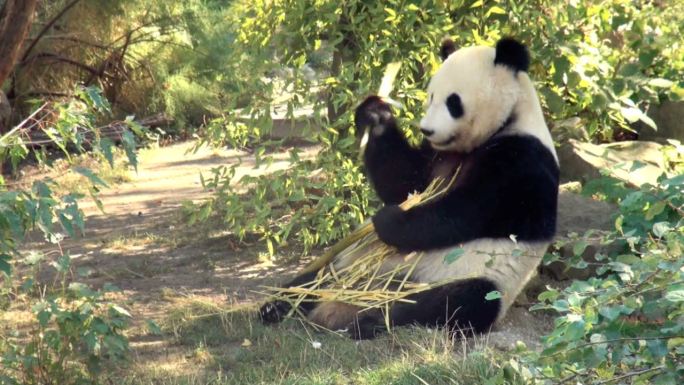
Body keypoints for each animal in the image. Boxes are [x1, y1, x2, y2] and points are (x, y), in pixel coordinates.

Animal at [260, 37, 560, 338]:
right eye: (431, 96)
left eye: (453, 102)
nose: (426, 129)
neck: (508, 121)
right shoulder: (436, 155)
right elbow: (405, 183)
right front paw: (375, 115)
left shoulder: (523, 161)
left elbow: (466, 212)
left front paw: (389, 220)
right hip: (351, 259)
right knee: (318, 276)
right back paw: (278, 304)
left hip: (475, 276)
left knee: (457, 302)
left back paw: (369, 321)